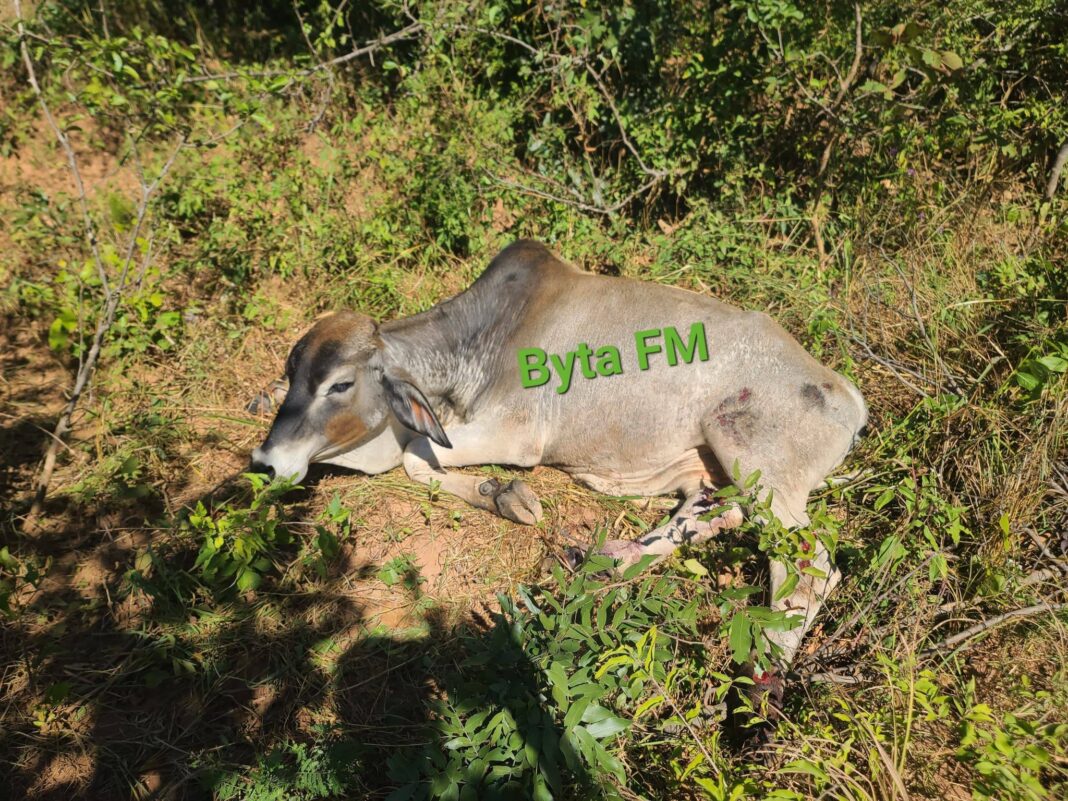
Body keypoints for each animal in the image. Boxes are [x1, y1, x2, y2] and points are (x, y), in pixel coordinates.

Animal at [251, 239, 868, 690]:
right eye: (290, 372)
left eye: (340, 384)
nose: (263, 463)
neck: (481, 337)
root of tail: (846, 395)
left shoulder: (515, 433)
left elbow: (414, 462)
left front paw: (509, 496)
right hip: (710, 474)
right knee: (710, 514)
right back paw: (603, 562)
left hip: (754, 462)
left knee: (810, 566)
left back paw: (763, 679)